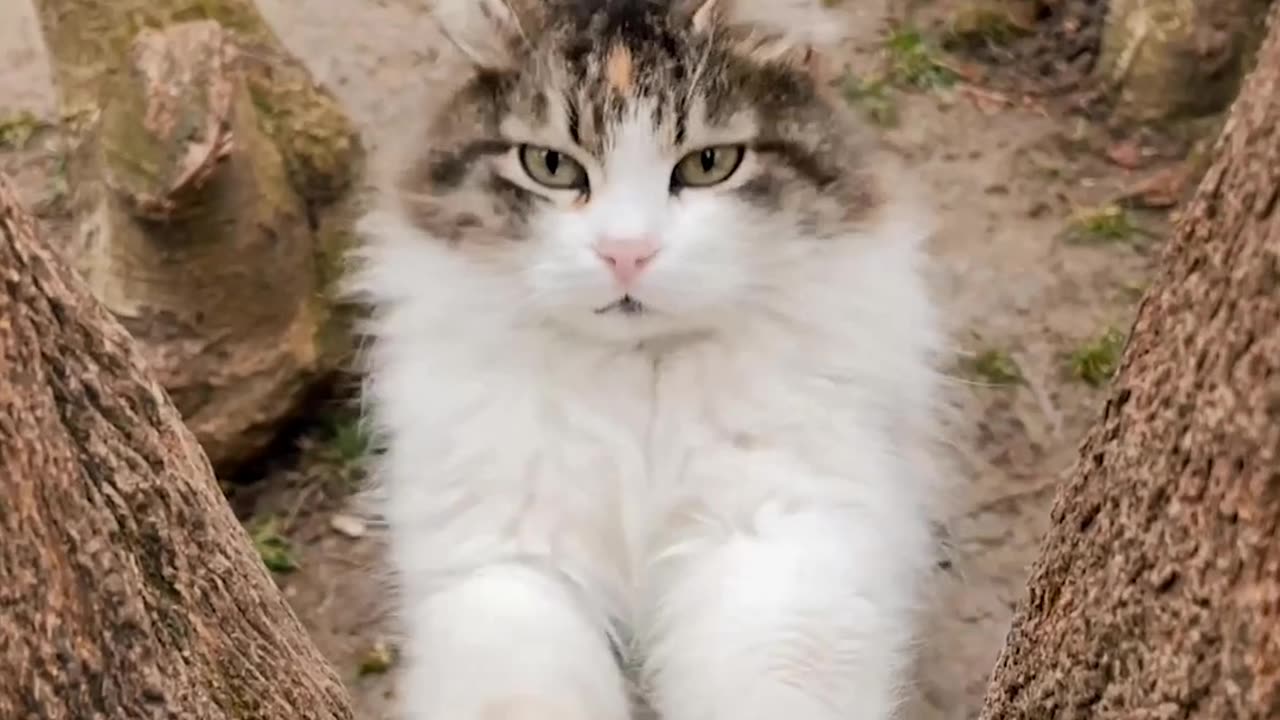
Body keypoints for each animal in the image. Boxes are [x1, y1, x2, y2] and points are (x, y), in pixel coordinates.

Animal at [350, 1, 952, 717]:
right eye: (550, 165)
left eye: (710, 163)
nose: (627, 253)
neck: (636, 377)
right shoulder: (508, 559)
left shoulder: (775, 535)